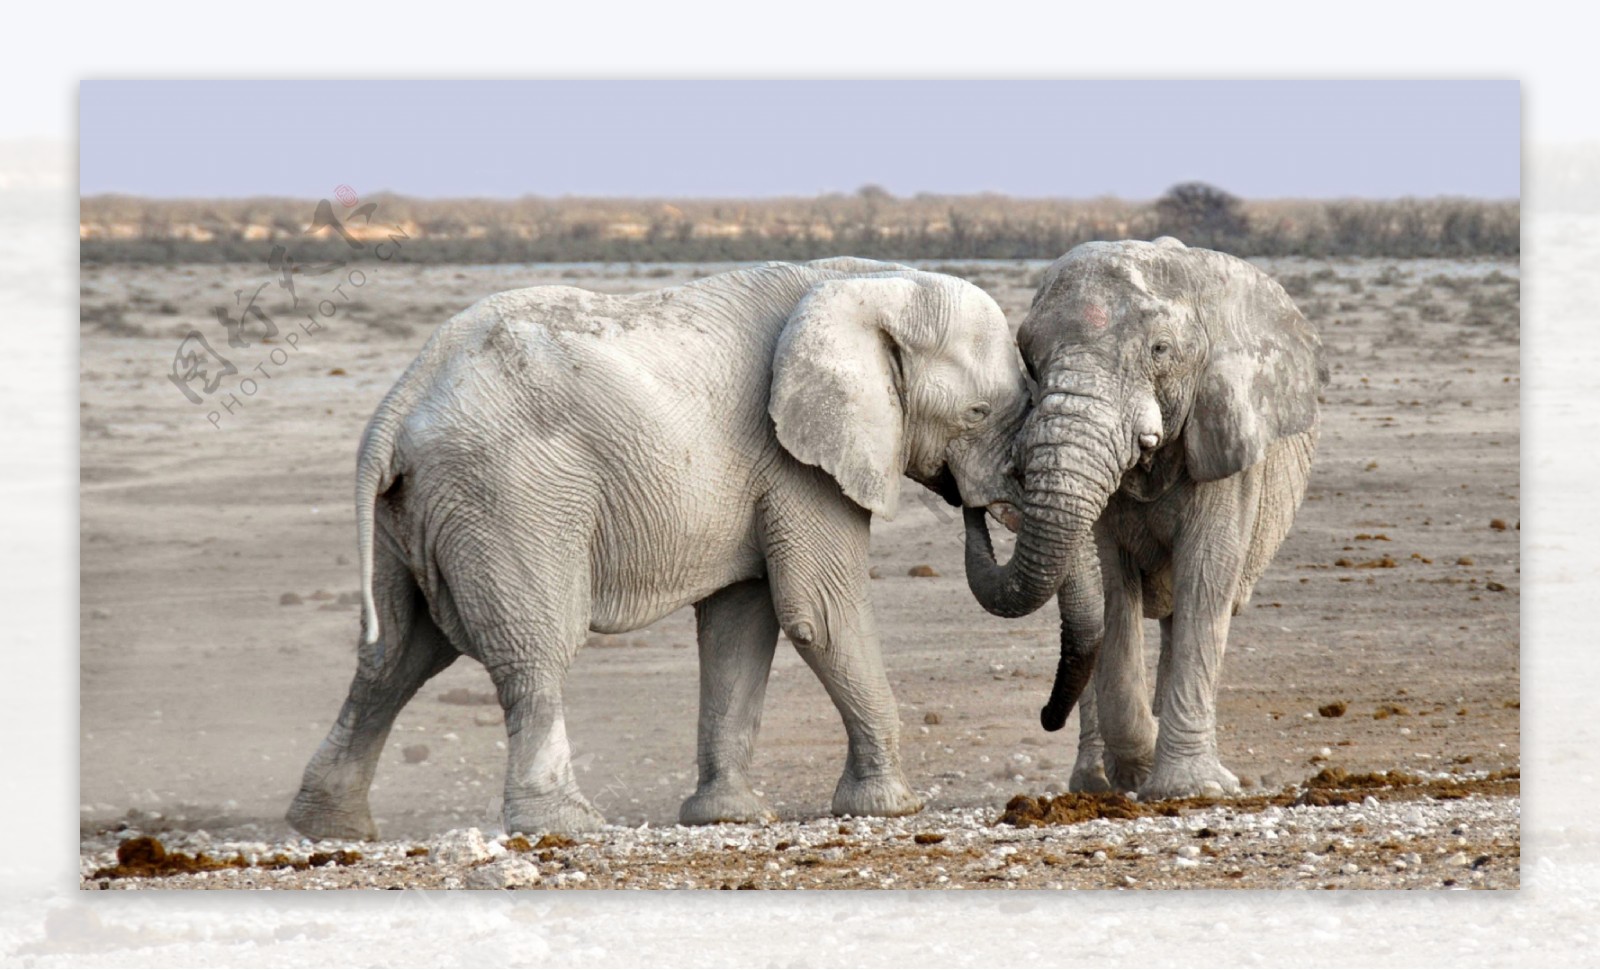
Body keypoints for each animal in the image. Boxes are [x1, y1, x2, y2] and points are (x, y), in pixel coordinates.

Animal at [289, 259, 1030, 845]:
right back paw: (566, 826)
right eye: (977, 414)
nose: (976, 507)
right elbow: (818, 613)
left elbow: (741, 625)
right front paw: (893, 807)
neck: (874, 284)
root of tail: (399, 402)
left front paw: (728, 818)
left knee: (395, 656)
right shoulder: (798, 460)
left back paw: (329, 829)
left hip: (413, 512)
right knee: (534, 650)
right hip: (509, 496)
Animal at [960, 240, 1324, 803]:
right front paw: (1140, 768)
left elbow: (1206, 577)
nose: (976, 504)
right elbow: (1111, 588)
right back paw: (1094, 783)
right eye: (1029, 359)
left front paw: (1190, 789)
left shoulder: (1226, 439)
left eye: (1161, 350)